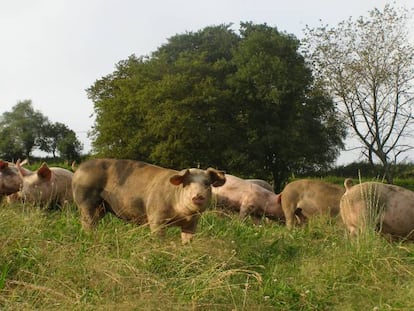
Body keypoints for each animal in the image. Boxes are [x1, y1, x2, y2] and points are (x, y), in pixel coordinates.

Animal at [71, 160, 226, 245]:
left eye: (207, 184)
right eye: (186, 183)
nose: (198, 196)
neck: (182, 214)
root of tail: (79, 168)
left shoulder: (192, 223)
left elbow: (187, 239)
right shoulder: (156, 216)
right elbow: (158, 236)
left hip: (102, 208)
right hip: (85, 202)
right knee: (87, 222)